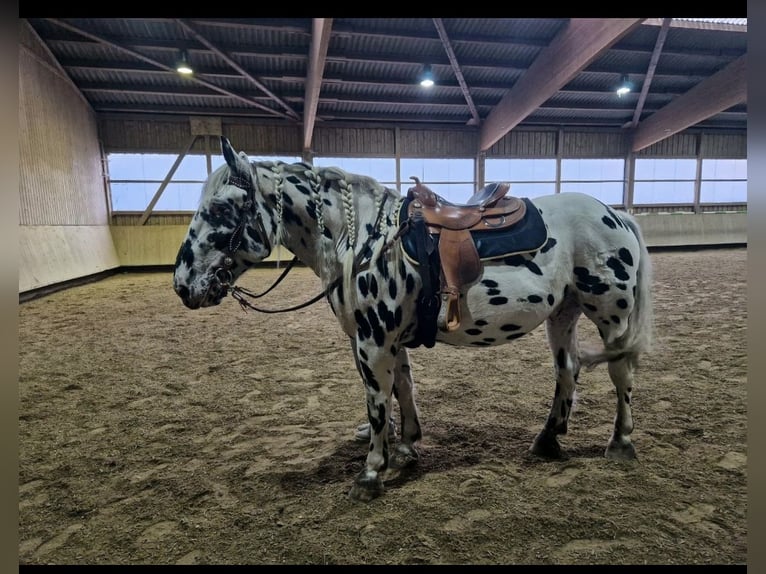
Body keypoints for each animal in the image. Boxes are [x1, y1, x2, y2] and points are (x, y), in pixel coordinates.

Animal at [172, 137, 656, 502]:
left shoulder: (372, 342)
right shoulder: (386, 340)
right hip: (563, 314)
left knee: (621, 374)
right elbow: (403, 388)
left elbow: (377, 402)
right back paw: (549, 439)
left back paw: (620, 442)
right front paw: (406, 445)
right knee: (568, 371)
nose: (183, 284)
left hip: (610, 316)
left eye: (221, 210)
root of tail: (616, 215)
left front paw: (371, 472)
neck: (363, 241)